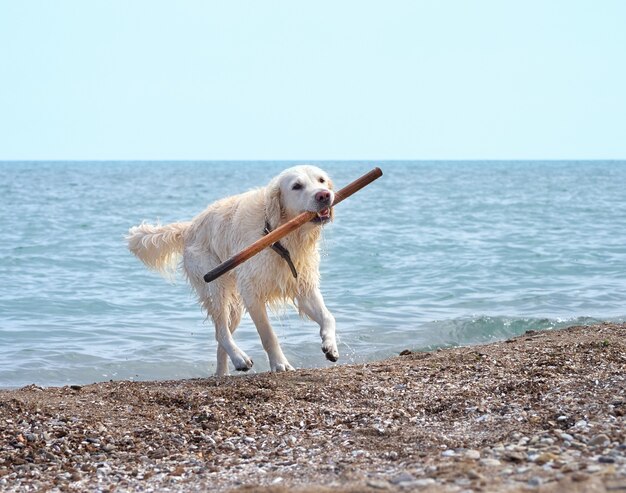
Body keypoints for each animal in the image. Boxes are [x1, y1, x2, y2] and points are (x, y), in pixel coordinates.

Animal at [125, 167, 336, 374]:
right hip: (215, 284)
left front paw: (330, 345)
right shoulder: (252, 293)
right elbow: (268, 334)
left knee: (221, 337)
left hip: (233, 306)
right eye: (296, 186)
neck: (277, 233)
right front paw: (280, 364)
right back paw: (239, 358)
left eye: (321, 180)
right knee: (221, 331)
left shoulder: (303, 286)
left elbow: (328, 317)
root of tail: (189, 227)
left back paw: (224, 372)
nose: (324, 195)